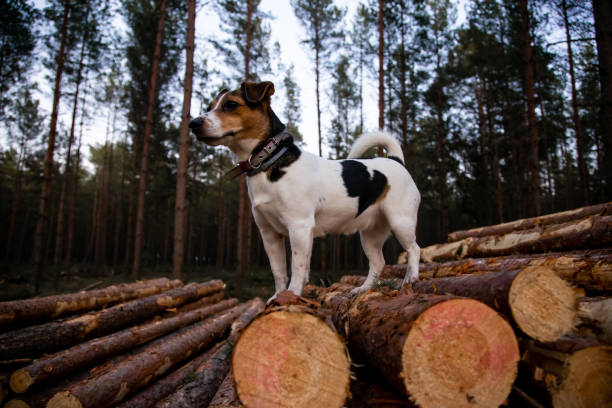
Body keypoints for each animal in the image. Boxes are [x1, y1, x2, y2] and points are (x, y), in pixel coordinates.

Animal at [191, 81, 420, 298]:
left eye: (231, 105)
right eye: (210, 107)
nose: (193, 123)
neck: (269, 161)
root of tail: (396, 160)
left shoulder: (299, 227)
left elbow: (298, 267)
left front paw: (292, 294)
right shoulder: (269, 233)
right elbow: (278, 271)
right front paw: (277, 297)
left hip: (400, 221)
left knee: (414, 250)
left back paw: (410, 281)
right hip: (370, 233)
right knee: (378, 262)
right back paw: (365, 289)